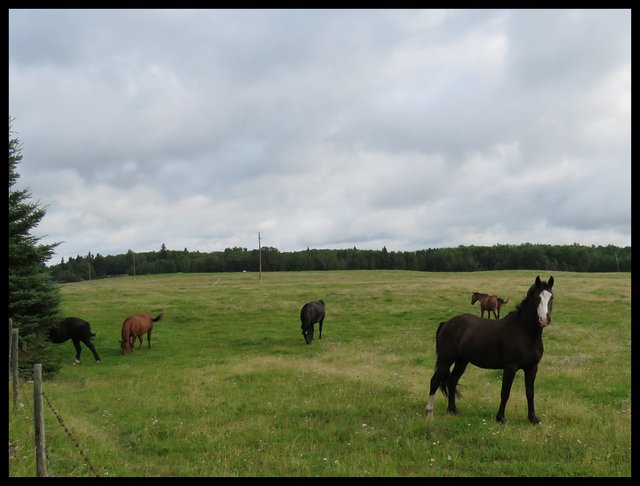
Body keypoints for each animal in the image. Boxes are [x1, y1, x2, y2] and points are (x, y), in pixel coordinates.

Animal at [424, 276, 556, 424]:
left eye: (551, 297)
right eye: (537, 298)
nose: (544, 320)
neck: (524, 332)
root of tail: (446, 323)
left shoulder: (532, 368)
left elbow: (530, 392)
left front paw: (533, 418)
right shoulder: (510, 367)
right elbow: (505, 392)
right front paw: (501, 418)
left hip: (461, 361)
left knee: (452, 381)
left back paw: (453, 410)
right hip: (445, 360)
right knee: (434, 381)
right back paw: (429, 413)